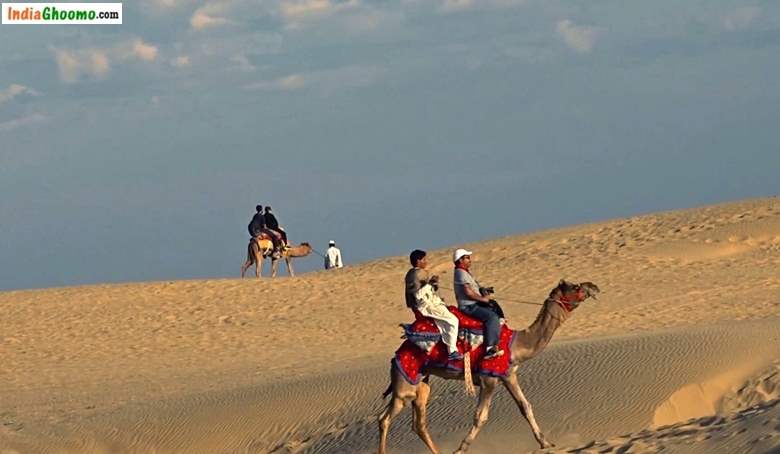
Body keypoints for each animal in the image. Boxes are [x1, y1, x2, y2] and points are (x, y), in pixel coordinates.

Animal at [374, 278, 600, 452]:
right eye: (575, 287)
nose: (594, 286)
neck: (516, 345)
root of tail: (398, 352)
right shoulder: (488, 378)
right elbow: (480, 416)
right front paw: (461, 448)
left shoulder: (508, 375)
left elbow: (525, 406)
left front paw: (546, 443)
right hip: (404, 383)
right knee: (384, 419)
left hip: (421, 380)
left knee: (418, 423)